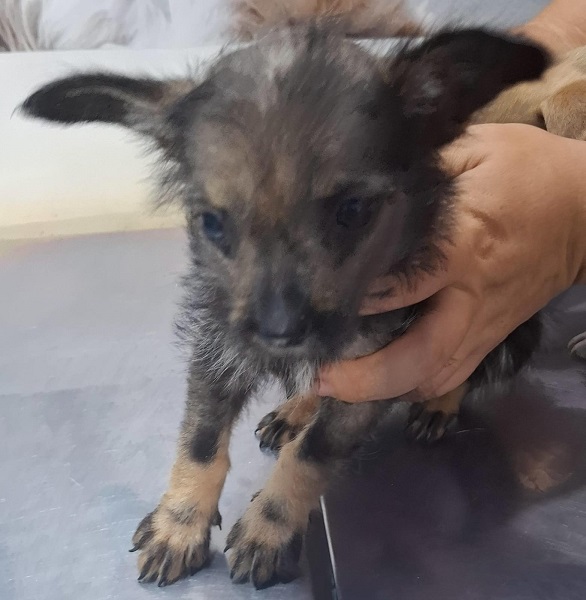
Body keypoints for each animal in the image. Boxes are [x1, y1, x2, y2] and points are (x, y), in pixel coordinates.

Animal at [22, 27, 551, 588]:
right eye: (212, 223)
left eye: (353, 211)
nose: (279, 334)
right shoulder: (216, 347)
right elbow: (199, 441)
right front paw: (179, 524)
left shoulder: (383, 368)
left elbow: (311, 455)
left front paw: (268, 529)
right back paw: (296, 407)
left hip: (511, 338)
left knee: (466, 367)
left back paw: (437, 404)